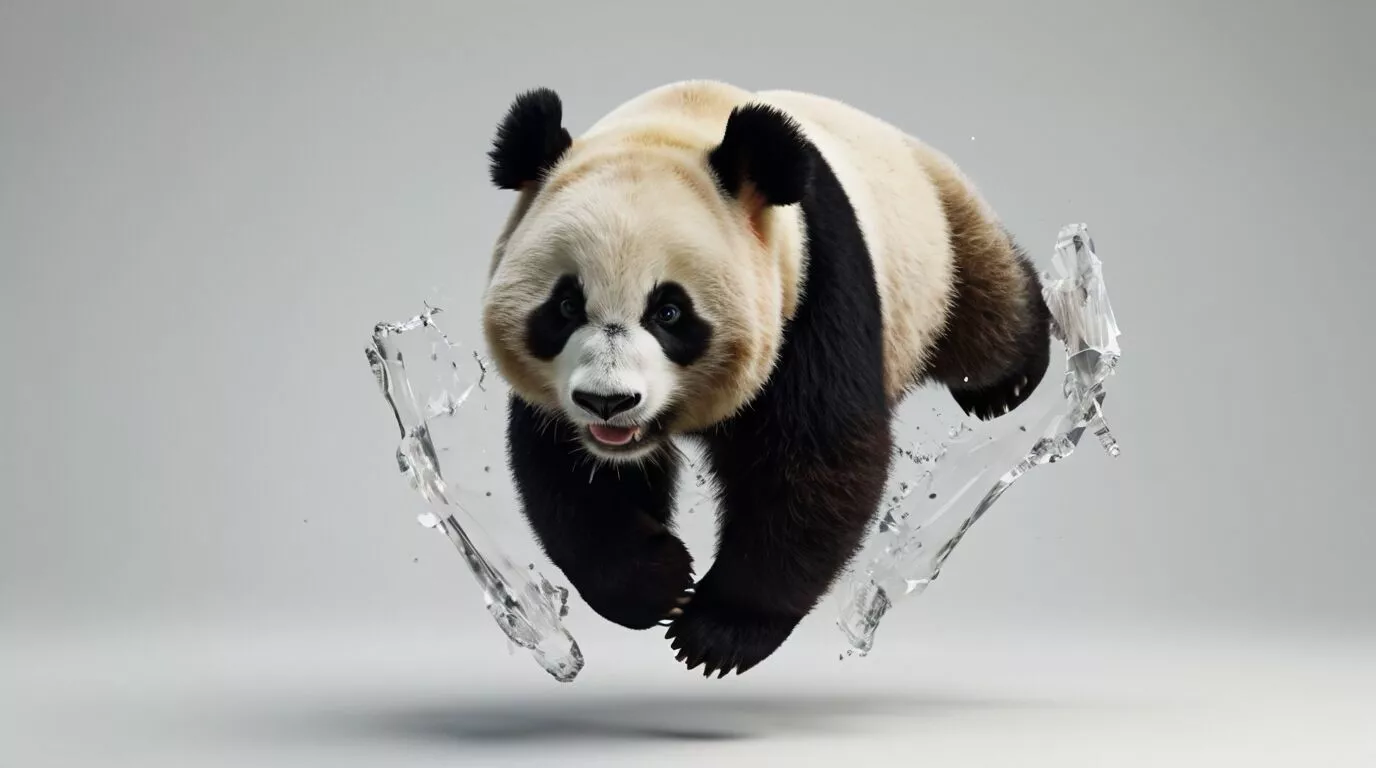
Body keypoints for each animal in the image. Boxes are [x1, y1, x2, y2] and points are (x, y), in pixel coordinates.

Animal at [480, 80, 1052, 678]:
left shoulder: (813, 287)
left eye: (669, 312)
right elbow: (562, 470)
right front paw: (659, 584)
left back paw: (1009, 383)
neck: (677, 122)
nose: (607, 402)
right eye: (566, 305)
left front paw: (717, 632)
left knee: (985, 311)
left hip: (935, 247)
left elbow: (817, 459)